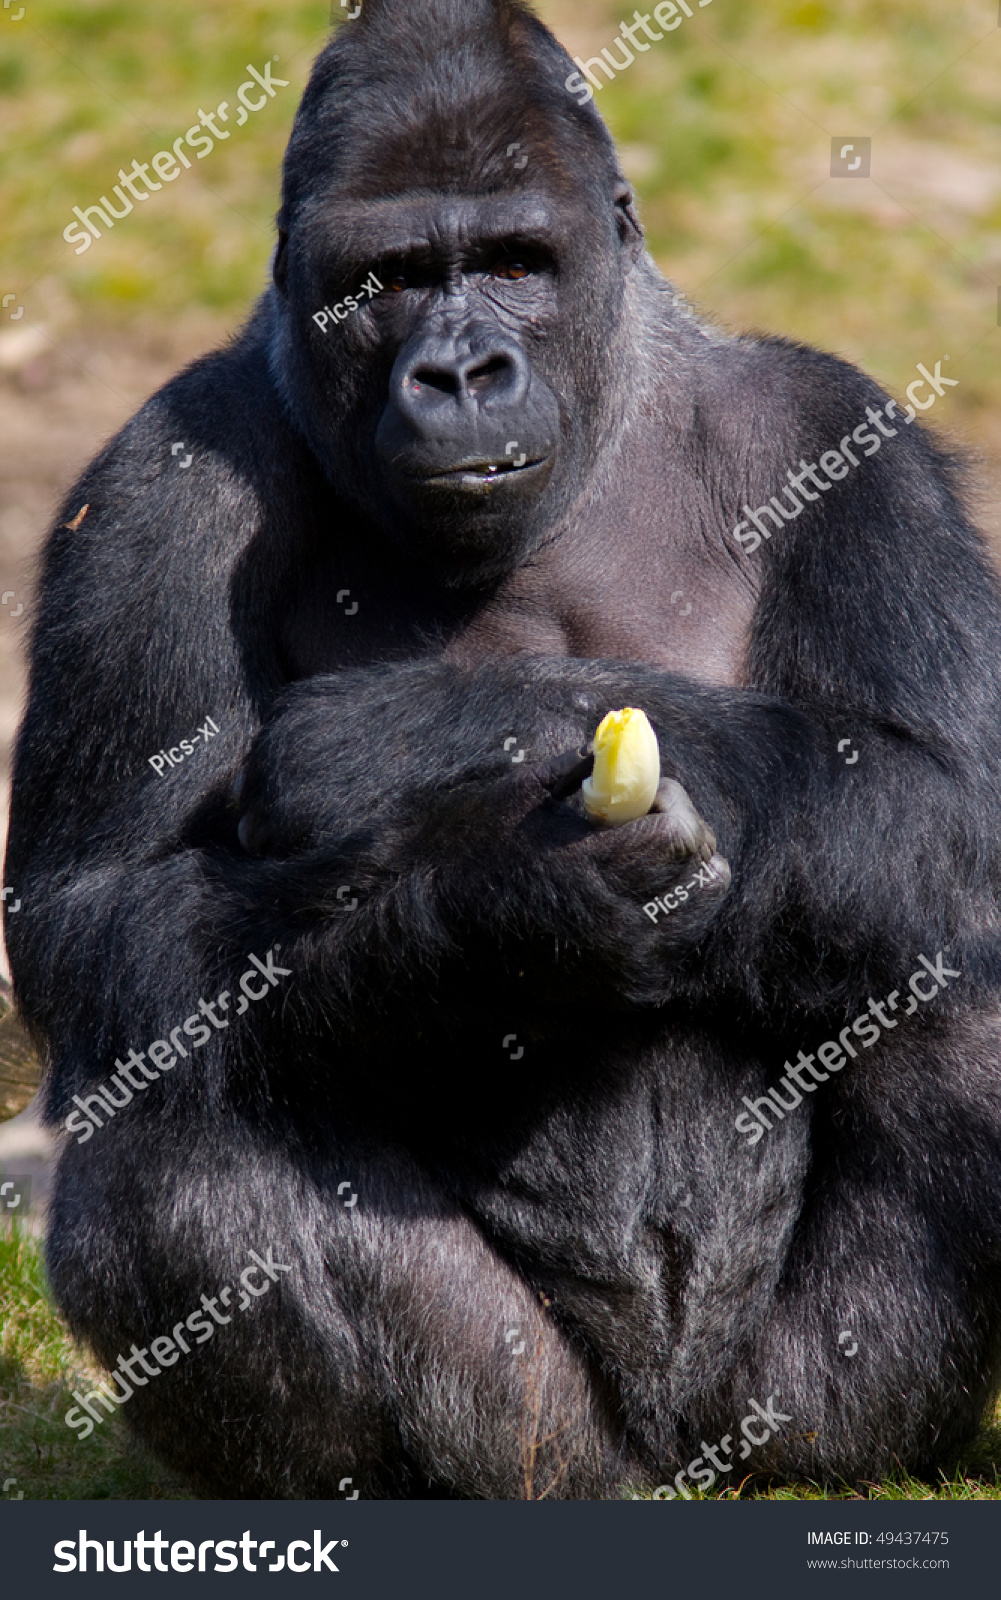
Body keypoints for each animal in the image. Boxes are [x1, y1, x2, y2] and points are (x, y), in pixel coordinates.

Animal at [5, 0, 997, 1497]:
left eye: (516, 263)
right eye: (390, 277)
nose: (461, 370)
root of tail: (674, 1462)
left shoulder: (841, 434)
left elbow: (944, 796)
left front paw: (392, 738)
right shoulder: (154, 492)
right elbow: (94, 920)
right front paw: (504, 915)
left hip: (803, 1410)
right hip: (542, 1438)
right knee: (177, 1143)